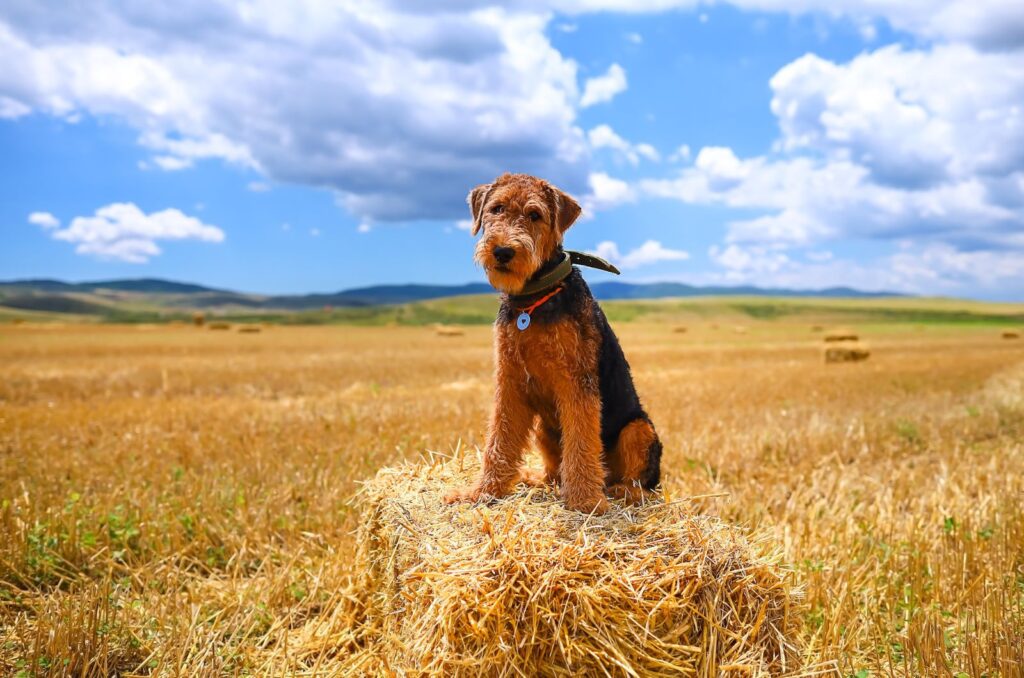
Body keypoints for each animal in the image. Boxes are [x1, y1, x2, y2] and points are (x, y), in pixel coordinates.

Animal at [442, 173, 663, 512]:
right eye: (496, 208)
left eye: (535, 214)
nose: (503, 251)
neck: (533, 297)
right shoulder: (510, 382)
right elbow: (499, 442)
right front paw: (481, 492)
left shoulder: (577, 384)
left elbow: (581, 444)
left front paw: (586, 501)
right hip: (544, 430)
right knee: (555, 471)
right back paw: (536, 478)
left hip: (638, 429)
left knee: (642, 485)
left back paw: (616, 492)